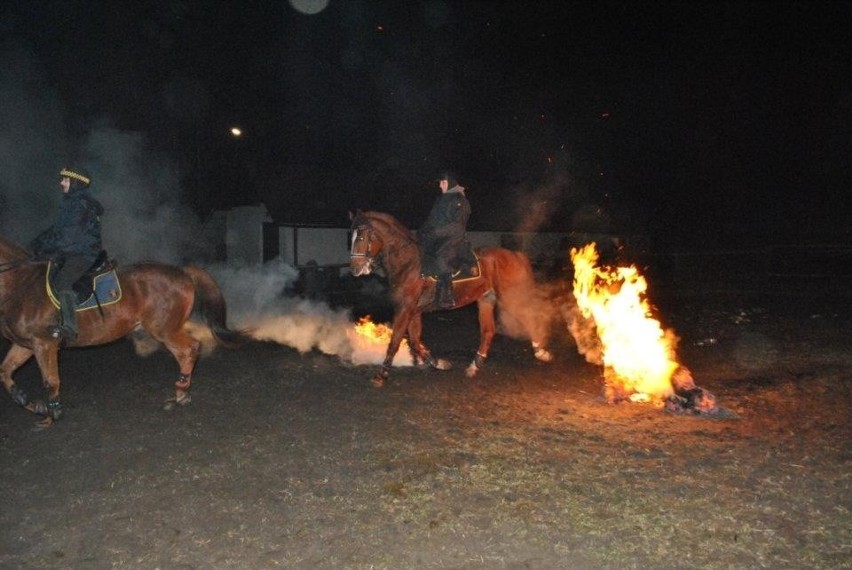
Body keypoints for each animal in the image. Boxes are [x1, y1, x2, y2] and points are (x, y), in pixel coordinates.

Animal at [0, 233, 248, 424]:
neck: (21, 286)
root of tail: (182, 271)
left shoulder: (44, 343)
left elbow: (50, 380)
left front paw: (52, 413)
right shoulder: (26, 345)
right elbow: (5, 372)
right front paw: (33, 404)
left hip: (163, 329)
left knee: (190, 349)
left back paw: (180, 391)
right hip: (166, 329)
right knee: (185, 352)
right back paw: (181, 392)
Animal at [350, 210, 556, 386]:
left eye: (360, 237)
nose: (354, 269)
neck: (409, 264)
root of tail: (514, 255)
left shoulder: (405, 308)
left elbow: (395, 341)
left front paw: (381, 374)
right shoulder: (413, 310)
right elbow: (415, 340)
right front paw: (437, 363)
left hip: (509, 298)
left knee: (527, 318)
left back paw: (540, 351)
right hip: (486, 299)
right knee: (488, 331)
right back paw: (474, 366)